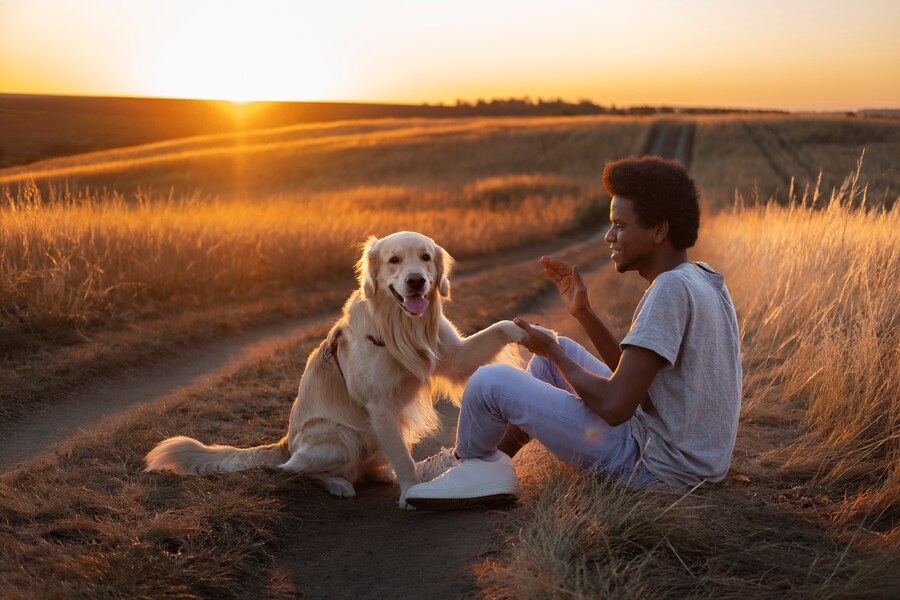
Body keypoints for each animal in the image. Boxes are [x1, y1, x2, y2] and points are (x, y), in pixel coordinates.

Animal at [146, 232, 528, 508]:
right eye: (393, 260)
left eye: (425, 257)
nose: (417, 281)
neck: (398, 327)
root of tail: (285, 442)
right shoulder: (379, 405)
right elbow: (404, 459)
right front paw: (410, 493)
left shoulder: (454, 356)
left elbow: (497, 331)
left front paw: (527, 331)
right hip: (341, 437)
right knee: (290, 470)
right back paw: (337, 483)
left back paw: (378, 474)